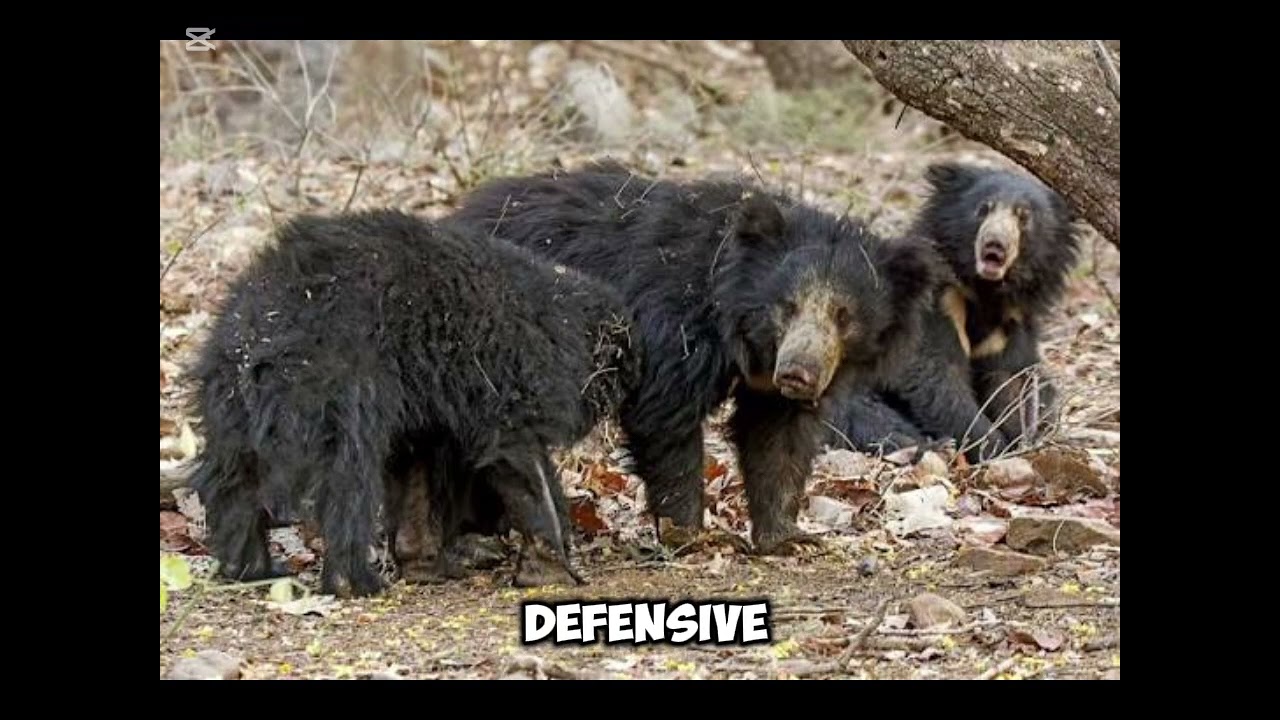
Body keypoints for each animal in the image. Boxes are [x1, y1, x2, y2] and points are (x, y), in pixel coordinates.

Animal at [186, 209, 642, 597]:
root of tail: (256, 337)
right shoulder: (512, 375)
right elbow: (517, 454)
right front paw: (550, 565)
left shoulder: (426, 403)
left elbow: (417, 467)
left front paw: (425, 562)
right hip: (337, 382)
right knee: (349, 475)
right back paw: (352, 580)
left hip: (229, 401)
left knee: (236, 478)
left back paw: (248, 566)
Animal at [450, 161, 942, 554]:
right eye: (787, 306)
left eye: (844, 316)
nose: (798, 375)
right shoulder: (671, 328)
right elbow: (666, 418)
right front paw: (691, 534)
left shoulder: (769, 384)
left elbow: (777, 438)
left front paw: (788, 537)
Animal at [827, 161, 1082, 462]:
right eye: (983, 209)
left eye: (1023, 217)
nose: (995, 243)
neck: (986, 291)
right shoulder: (938, 304)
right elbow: (935, 375)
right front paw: (992, 445)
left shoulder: (1013, 322)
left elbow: (1011, 380)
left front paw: (1024, 436)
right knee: (863, 414)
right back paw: (927, 446)